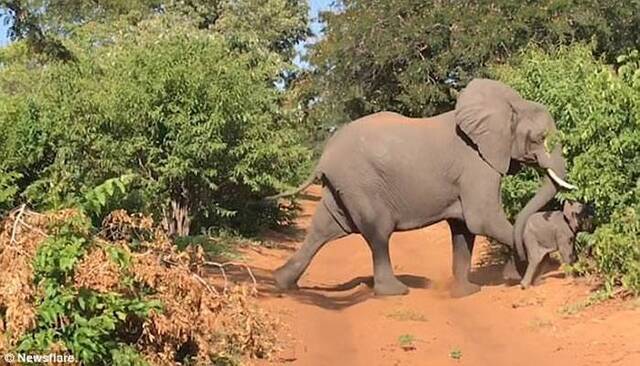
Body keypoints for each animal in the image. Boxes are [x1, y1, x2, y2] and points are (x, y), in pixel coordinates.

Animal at [270, 78, 576, 298]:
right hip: (361, 183)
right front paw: (526, 272)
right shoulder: (476, 164)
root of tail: (324, 155)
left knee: (326, 227)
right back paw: (394, 292)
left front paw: (466, 292)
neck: (509, 105)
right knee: (377, 232)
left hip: (343, 187)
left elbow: (464, 229)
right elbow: (483, 219)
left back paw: (281, 283)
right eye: (539, 138)